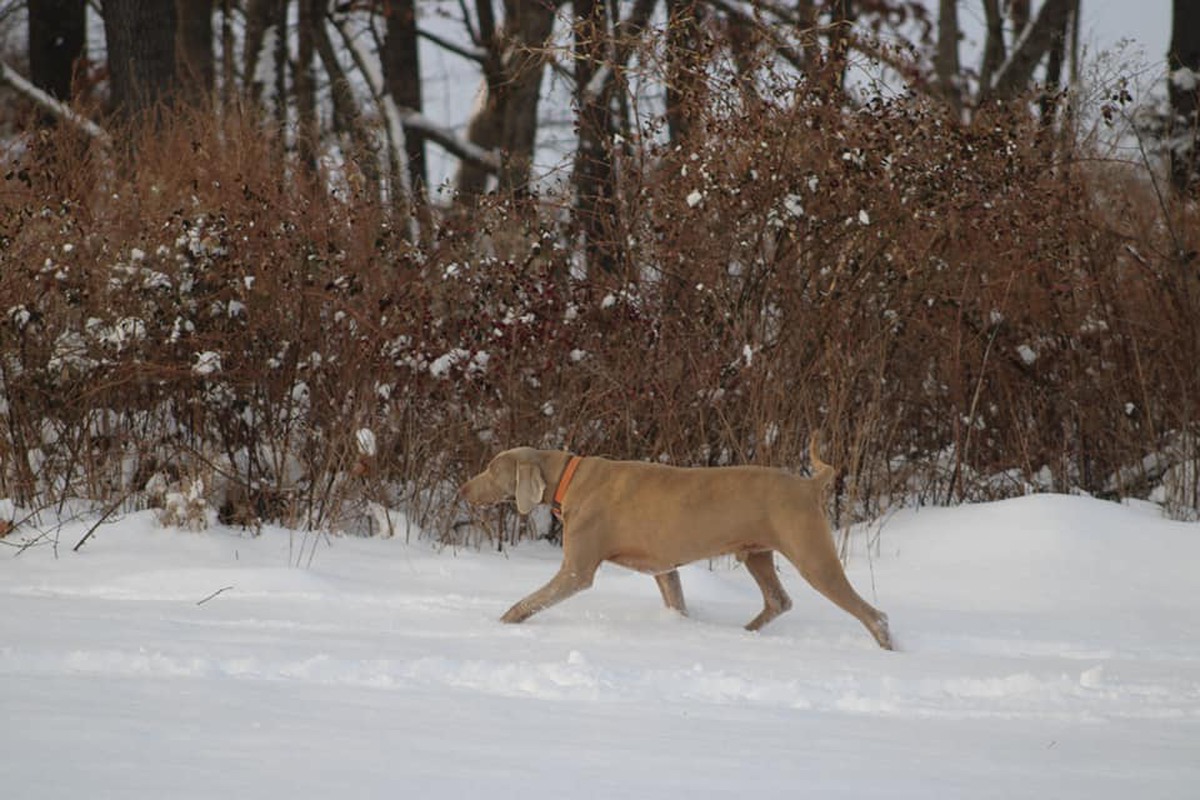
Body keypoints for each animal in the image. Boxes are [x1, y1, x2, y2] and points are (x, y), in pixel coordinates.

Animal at [458, 431, 892, 652]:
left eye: (492, 469)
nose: (462, 489)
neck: (568, 476)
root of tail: (809, 484)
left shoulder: (576, 570)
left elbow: (529, 601)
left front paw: (501, 624)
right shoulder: (664, 569)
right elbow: (676, 601)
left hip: (811, 554)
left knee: (872, 614)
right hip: (757, 553)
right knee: (778, 600)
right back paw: (743, 634)